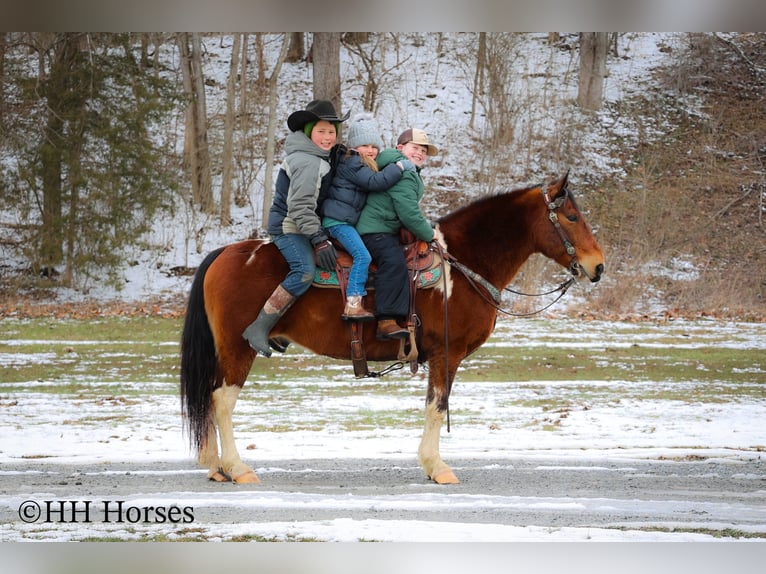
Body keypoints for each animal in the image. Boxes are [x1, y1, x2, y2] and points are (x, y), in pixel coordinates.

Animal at [180, 172, 605, 485]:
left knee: (210, 399)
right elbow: (437, 406)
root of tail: (225, 253)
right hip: (239, 349)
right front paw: (437, 467)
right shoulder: (447, 354)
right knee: (222, 401)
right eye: (571, 217)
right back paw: (237, 467)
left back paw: (216, 466)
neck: (461, 265)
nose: (598, 266)